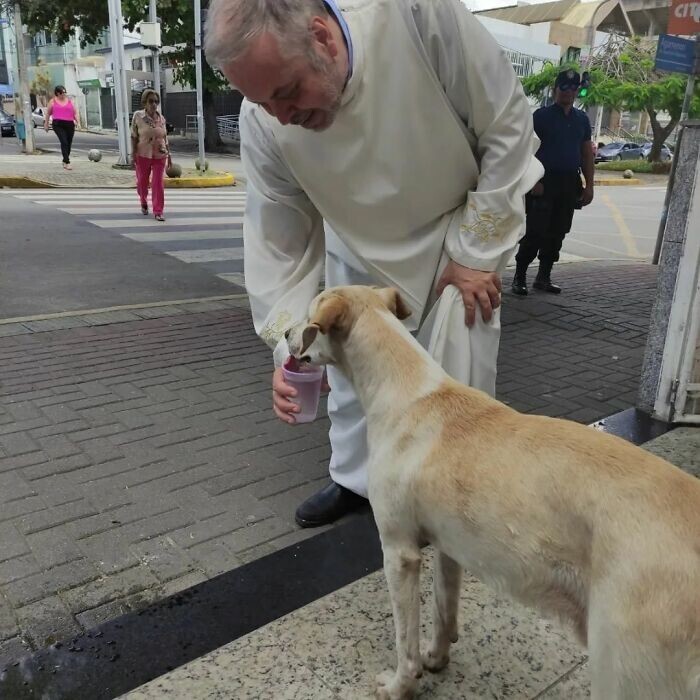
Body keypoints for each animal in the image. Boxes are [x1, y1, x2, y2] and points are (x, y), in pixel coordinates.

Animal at [288, 284, 700, 700]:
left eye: (309, 318)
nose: (286, 334)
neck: (406, 391)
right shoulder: (449, 547)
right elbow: (444, 609)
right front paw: (436, 658)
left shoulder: (399, 553)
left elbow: (405, 641)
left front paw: (399, 685)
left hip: (622, 667)